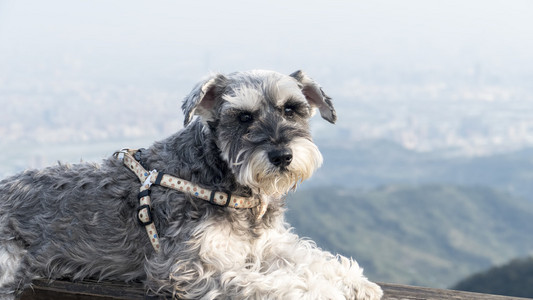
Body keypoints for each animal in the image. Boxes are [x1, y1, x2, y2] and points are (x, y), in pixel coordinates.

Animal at [0, 71, 382, 300]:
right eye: (243, 116)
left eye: (292, 109)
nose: (282, 155)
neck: (223, 181)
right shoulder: (189, 266)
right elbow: (270, 283)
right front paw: (321, 290)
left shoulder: (267, 244)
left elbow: (309, 255)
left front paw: (354, 281)